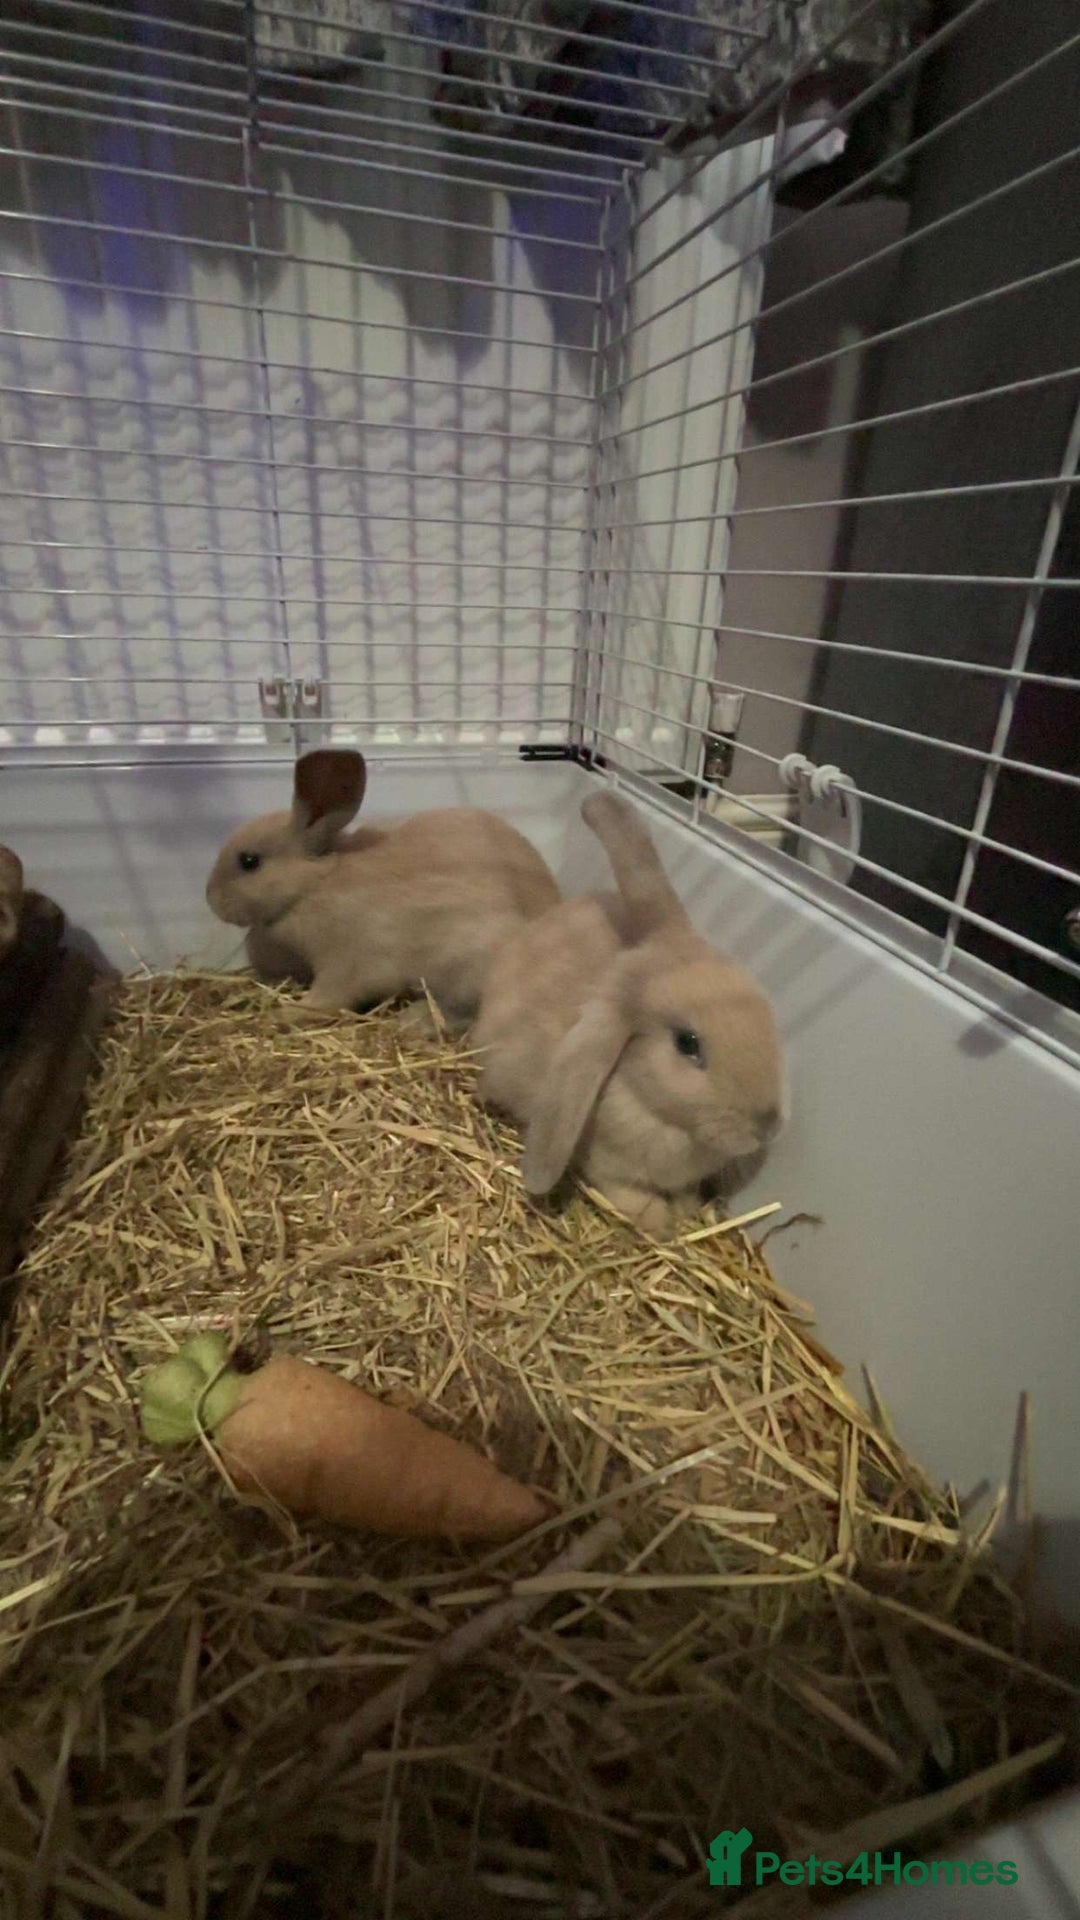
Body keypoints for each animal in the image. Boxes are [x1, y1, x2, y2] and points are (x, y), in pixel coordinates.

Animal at [205, 748, 561, 1019]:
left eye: (249, 861)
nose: (210, 899)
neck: (312, 887)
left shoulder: (342, 964)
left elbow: (328, 999)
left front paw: (286, 1014)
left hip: (470, 965)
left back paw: (413, 1021)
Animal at [473, 789, 786, 1239]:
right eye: (687, 1043)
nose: (767, 1125)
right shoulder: (609, 1168)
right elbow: (635, 1199)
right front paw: (663, 1224)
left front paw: (686, 1209)